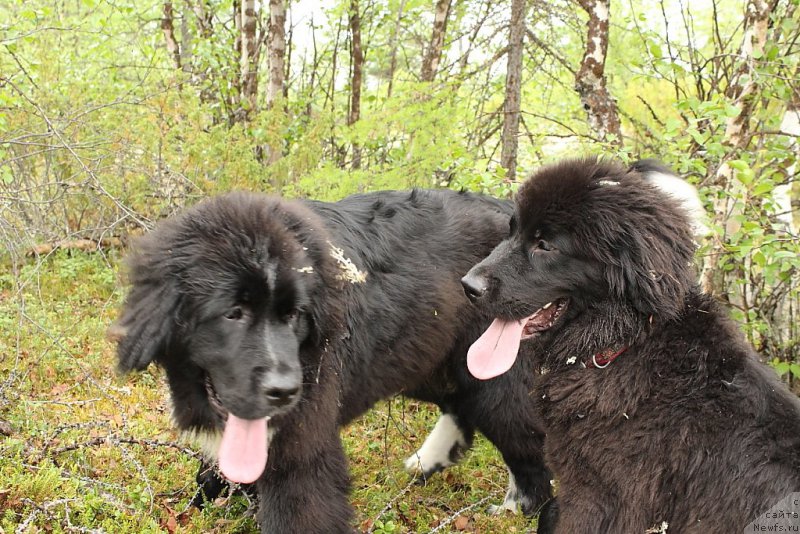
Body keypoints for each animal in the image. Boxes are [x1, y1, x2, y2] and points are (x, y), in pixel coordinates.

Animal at [111, 188, 556, 532]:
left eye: (294, 314)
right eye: (232, 313)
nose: (284, 391)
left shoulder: (303, 441)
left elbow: (300, 507)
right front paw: (201, 505)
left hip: (497, 371)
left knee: (528, 438)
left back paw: (518, 509)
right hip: (429, 355)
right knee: (459, 405)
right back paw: (426, 461)